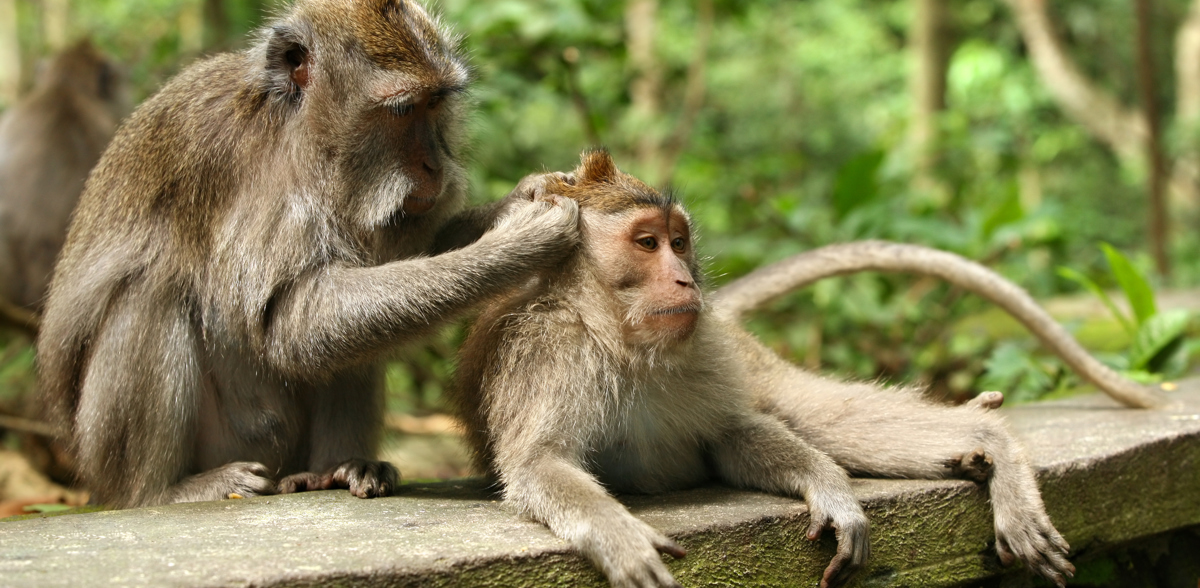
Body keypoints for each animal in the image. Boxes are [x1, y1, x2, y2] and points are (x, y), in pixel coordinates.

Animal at [38, 0, 580, 508]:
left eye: (434, 103)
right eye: (403, 110)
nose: (434, 165)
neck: (297, 132)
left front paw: (519, 200)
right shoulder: (253, 174)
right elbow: (288, 319)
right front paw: (521, 242)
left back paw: (336, 469)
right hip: (209, 443)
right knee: (149, 291)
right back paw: (161, 491)